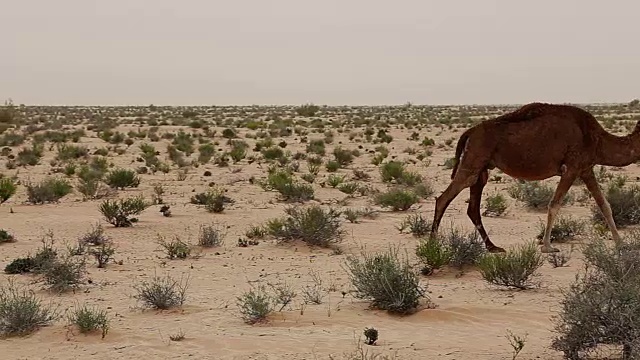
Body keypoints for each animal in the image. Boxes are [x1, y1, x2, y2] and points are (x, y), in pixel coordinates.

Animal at [430, 101, 636, 253]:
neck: (598, 139)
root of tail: (470, 131)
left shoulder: (586, 169)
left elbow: (604, 205)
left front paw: (621, 244)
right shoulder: (572, 168)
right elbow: (554, 204)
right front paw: (547, 246)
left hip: (482, 169)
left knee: (473, 207)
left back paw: (493, 247)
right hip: (473, 161)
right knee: (444, 198)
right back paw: (432, 245)